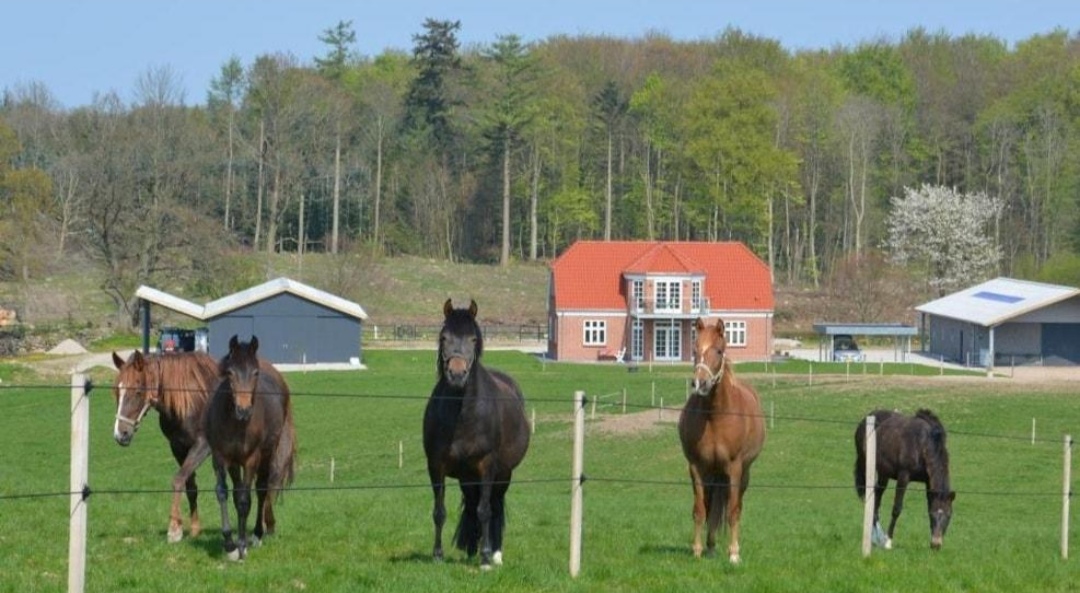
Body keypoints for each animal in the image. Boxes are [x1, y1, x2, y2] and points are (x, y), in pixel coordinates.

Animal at [111, 349, 219, 543]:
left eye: (138, 391)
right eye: (117, 391)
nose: (120, 434)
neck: (190, 398)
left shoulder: (202, 446)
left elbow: (178, 479)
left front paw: (174, 528)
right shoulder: (178, 447)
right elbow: (189, 485)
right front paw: (194, 529)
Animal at [205, 335, 296, 561]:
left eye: (255, 373)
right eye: (230, 372)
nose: (243, 410)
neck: (235, 424)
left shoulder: (250, 460)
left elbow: (245, 500)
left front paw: (242, 545)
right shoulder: (222, 458)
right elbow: (224, 493)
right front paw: (230, 544)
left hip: (266, 455)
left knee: (261, 490)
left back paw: (256, 535)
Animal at [423, 299, 530, 570]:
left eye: (473, 339)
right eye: (444, 337)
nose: (457, 374)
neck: (462, 414)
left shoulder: (487, 467)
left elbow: (485, 511)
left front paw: (485, 557)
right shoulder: (436, 467)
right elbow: (439, 511)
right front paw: (437, 555)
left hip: (503, 475)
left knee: (494, 506)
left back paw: (495, 553)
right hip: (467, 477)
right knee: (471, 506)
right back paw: (471, 550)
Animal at [677, 318, 766, 564]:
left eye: (718, 350)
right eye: (695, 349)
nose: (700, 383)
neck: (715, 416)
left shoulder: (734, 469)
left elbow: (733, 511)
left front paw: (734, 553)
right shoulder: (697, 468)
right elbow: (700, 510)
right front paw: (697, 550)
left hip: (742, 474)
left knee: (735, 506)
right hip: (713, 474)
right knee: (712, 507)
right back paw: (710, 545)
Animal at [854, 408, 955, 550]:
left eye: (949, 515)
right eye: (933, 515)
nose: (936, 544)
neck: (922, 444)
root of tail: (866, 418)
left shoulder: (928, 483)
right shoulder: (903, 477)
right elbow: (897, 508)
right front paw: (888, 541)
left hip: (884, 474)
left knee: (877, 496)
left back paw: (876, 537)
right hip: (866, 465)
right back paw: (878, 537)